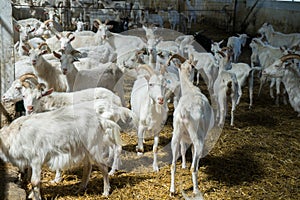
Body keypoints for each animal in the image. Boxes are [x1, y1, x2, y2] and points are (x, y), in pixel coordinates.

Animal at [165, 54, 214, 195]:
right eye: (193, 66)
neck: (190, 91)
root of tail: (184, 112)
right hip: (198, 137)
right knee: (194, 166)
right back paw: (196, 190)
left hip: (175, 135)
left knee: (172, 164)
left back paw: (172, 190)